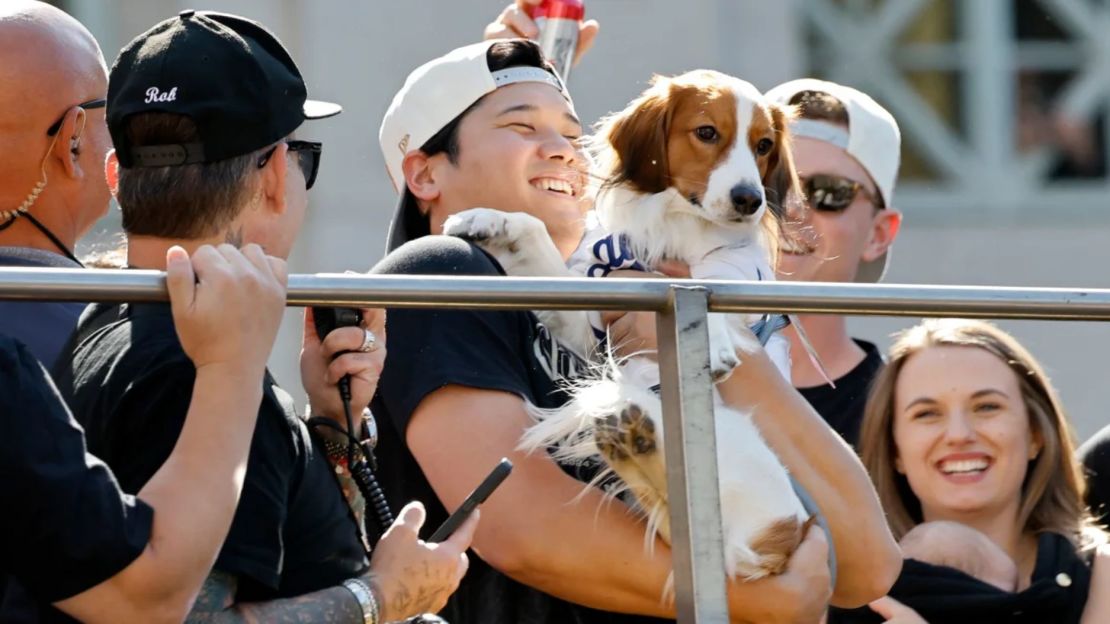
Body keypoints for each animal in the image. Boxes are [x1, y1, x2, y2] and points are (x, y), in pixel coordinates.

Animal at [444, 68, 816, 577]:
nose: (750, 200)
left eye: (763, 145)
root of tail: (783, 535)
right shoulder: (587, 324)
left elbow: (712, 278)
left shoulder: (735, 272)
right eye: (707, 133)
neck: (678, 228)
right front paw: (488, 218)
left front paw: (714, 341)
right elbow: (534, 231)